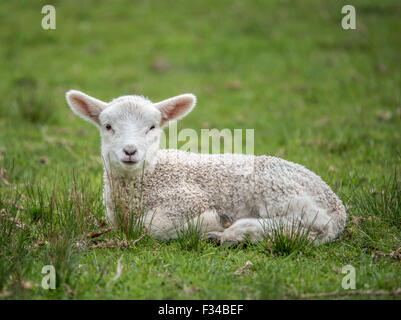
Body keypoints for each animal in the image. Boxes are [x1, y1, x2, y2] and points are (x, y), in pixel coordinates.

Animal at [66, 90, 346, 245]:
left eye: (152, 127)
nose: (130, 151)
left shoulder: (188, 197)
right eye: (107, 126)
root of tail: (337, 206)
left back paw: (235, 230)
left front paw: (208, 221)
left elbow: (149, 226)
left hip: (277, 190)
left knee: (314, 222)